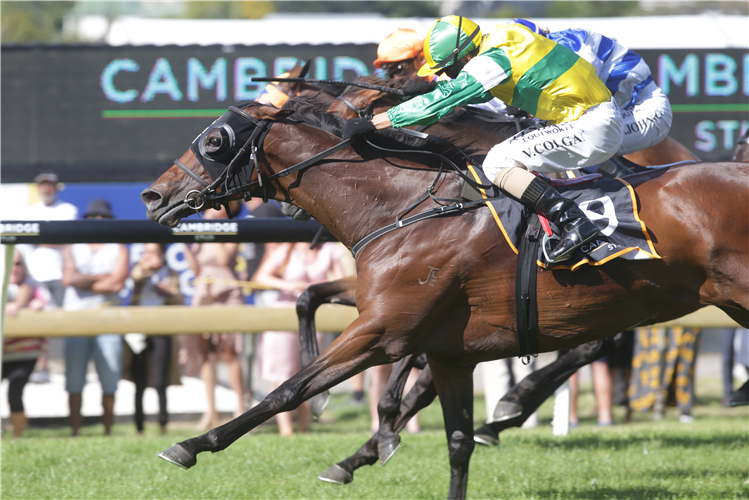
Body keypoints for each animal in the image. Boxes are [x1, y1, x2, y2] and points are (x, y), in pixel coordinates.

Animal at [142, 98, 748, 500]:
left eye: (214, 141)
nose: (154, 195)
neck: (407, 208)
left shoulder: (383, 331)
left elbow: (289, 389)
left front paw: (192, 444)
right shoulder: (447, 351)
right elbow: (456, 441)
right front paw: (370, 444)